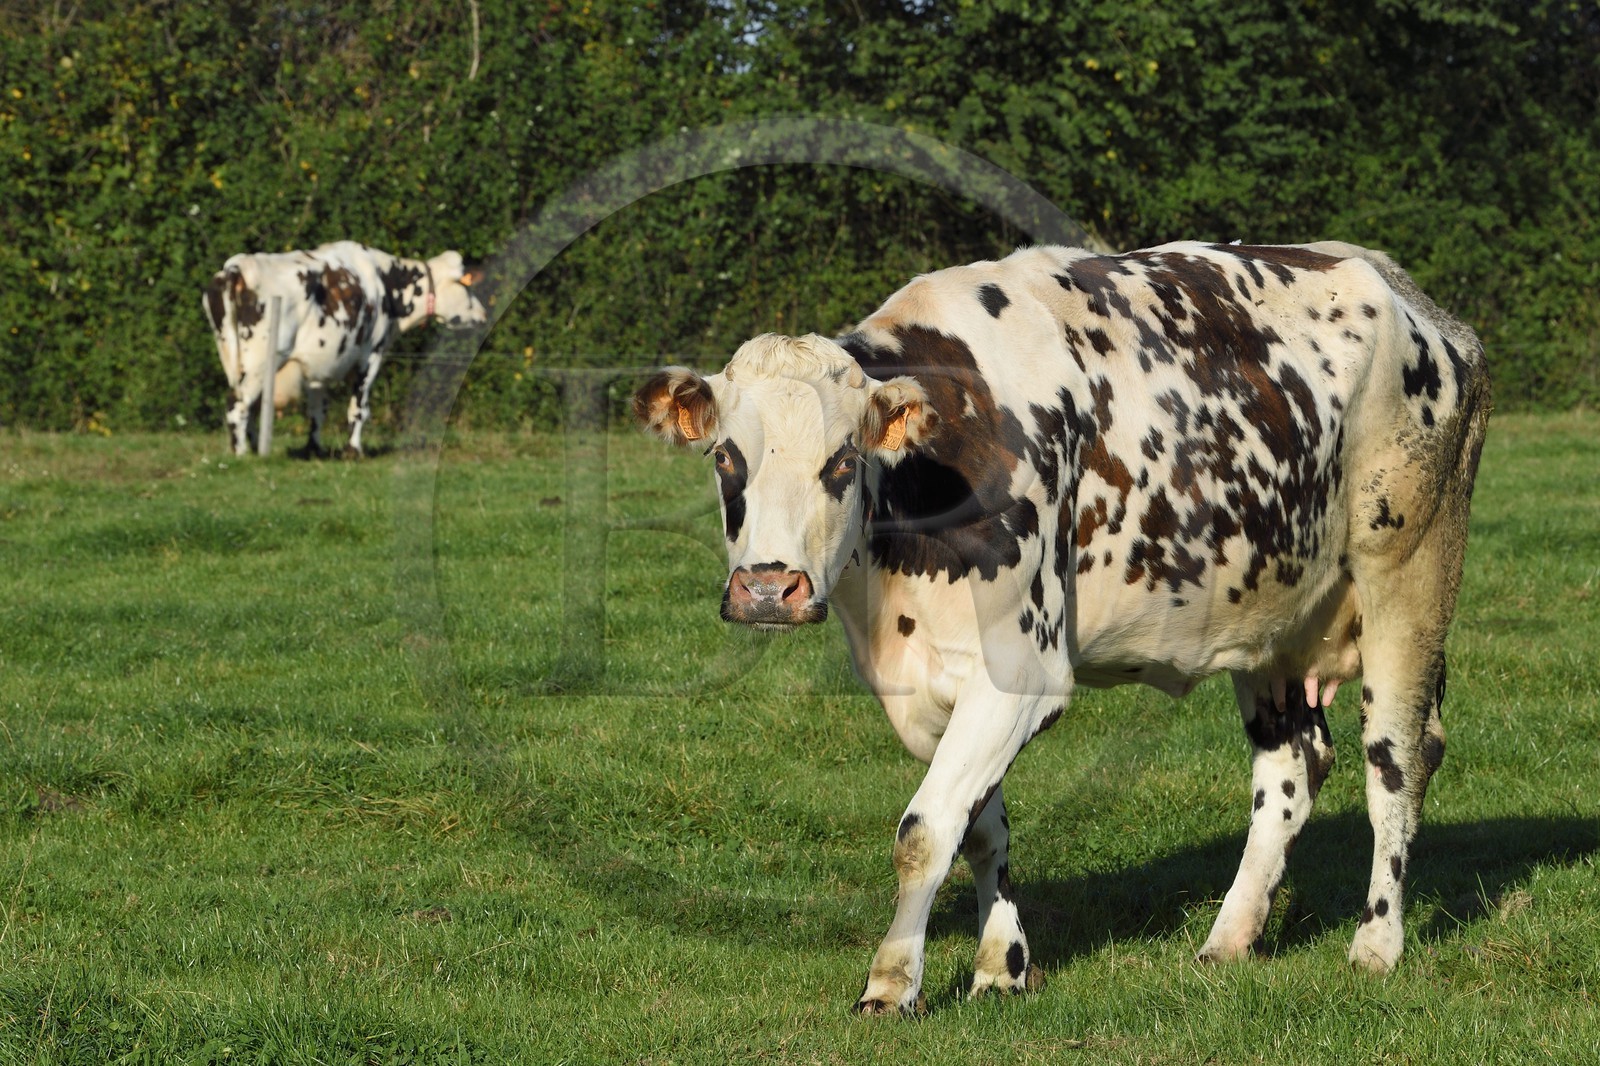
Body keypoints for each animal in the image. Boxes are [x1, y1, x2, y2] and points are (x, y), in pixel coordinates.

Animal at [204, 241, 486, 457]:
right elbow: (359, 408)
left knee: (247, 406)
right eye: (467, 286)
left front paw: (314, 449)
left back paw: (252, 448)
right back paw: (242, 454)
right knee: (237, 404)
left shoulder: (318, 362)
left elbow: (318, 411)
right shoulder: (372, 353)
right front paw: (354, 450)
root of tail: (236, 268)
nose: (484, 315)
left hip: (231, 355)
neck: (385, 283)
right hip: (260, 361)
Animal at [633, 240, 1490, 1014]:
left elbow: (924, 830)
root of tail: (1409, 294)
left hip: (1409, 578)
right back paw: (1229, 938)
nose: (768, 588)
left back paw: (1377, 943)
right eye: (725, 459)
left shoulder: (1024, 674)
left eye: (842, 461)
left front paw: (892, 983)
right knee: (1292, 768)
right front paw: (1000, 969)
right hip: (1273, 616)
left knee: (1396, 761)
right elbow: (978, 830)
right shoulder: (942, 683)